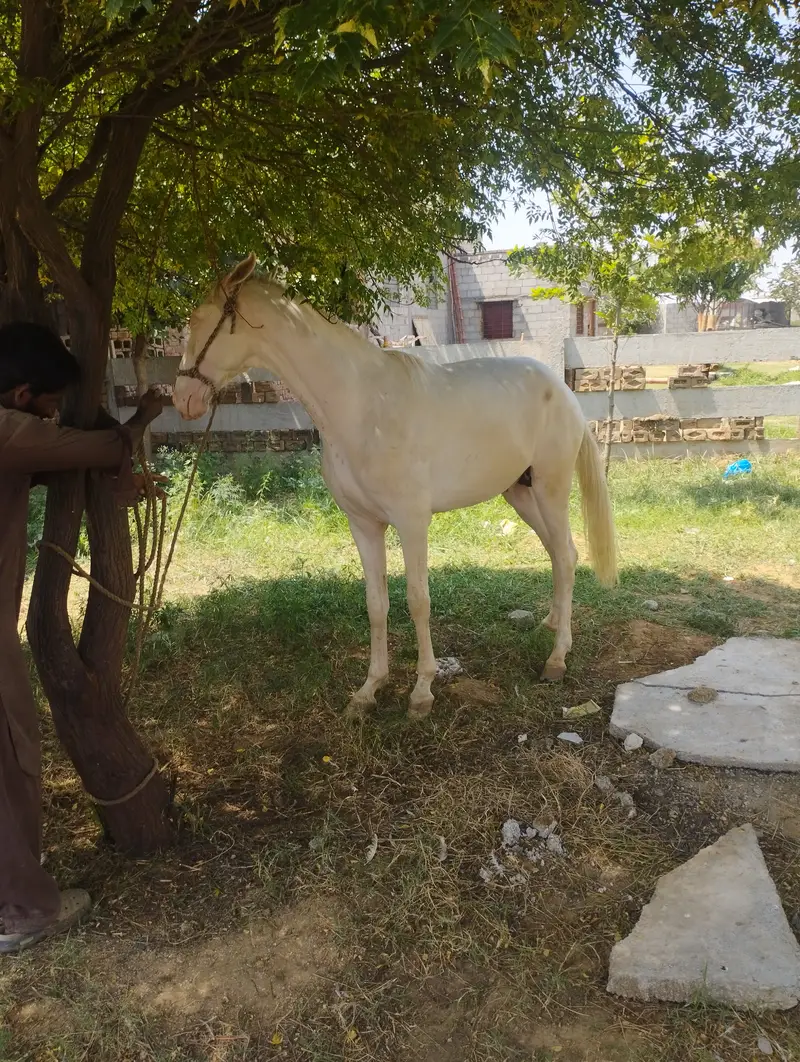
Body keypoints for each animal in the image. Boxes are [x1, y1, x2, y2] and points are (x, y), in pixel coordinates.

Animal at [172, 254, 618, 720]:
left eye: (198, 319)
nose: (182, 398)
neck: (361, 405)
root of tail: (563, 390)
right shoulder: (363, 524)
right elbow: (376, 603)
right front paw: (369, 689)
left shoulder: (412, 522)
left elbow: (418, 600)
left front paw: (422, 691)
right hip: (521, 493)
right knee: (557, 553)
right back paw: (552, 622)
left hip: (551, 489)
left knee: (566, 555)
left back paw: (557, 657)